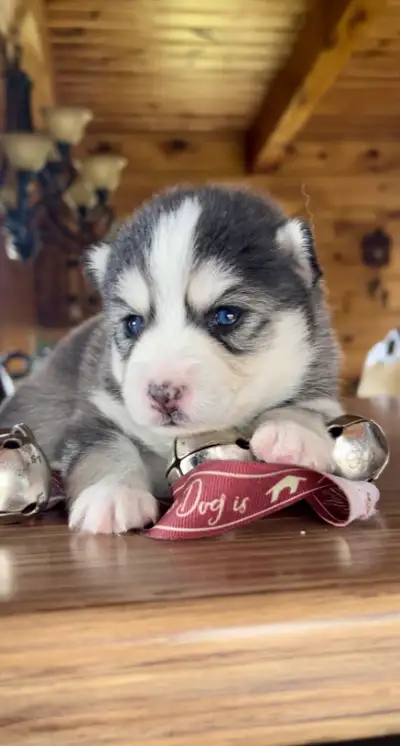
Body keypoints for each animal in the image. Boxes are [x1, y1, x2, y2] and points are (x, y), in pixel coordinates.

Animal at [1, 186, 342, 536]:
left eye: (226, 315)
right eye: (133, 323)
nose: (162, 394)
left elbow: (309, 405)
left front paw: (293, 430)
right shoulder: (95, 410)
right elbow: (102, 448)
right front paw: (111, 493)